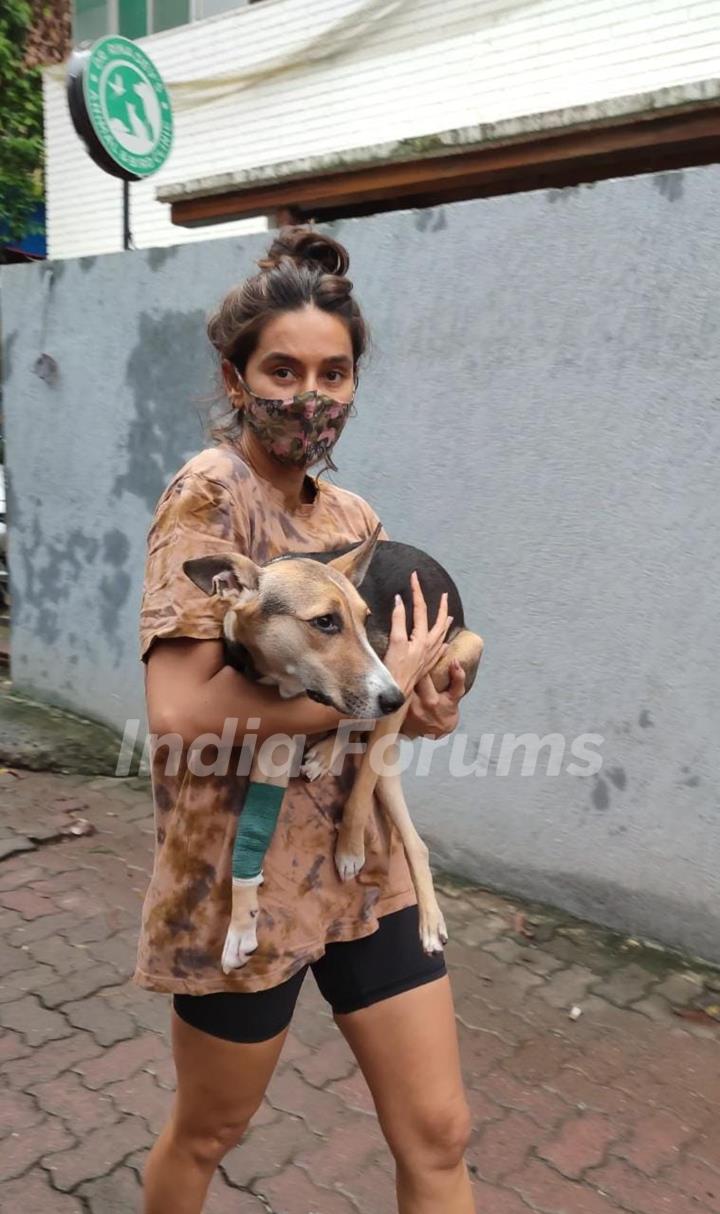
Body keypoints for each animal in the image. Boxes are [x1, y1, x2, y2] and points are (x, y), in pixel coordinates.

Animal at [183, 526, 483, 971]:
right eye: (324, 622)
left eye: (366, 620)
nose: (392, 697)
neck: (284, 679)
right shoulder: (277, 737)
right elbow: (249, 833)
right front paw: (241, 925)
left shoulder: (397, 688)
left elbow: (358, 790)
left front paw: (350, 849)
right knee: (410, 832)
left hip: (456, 654)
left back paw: (429, 922)